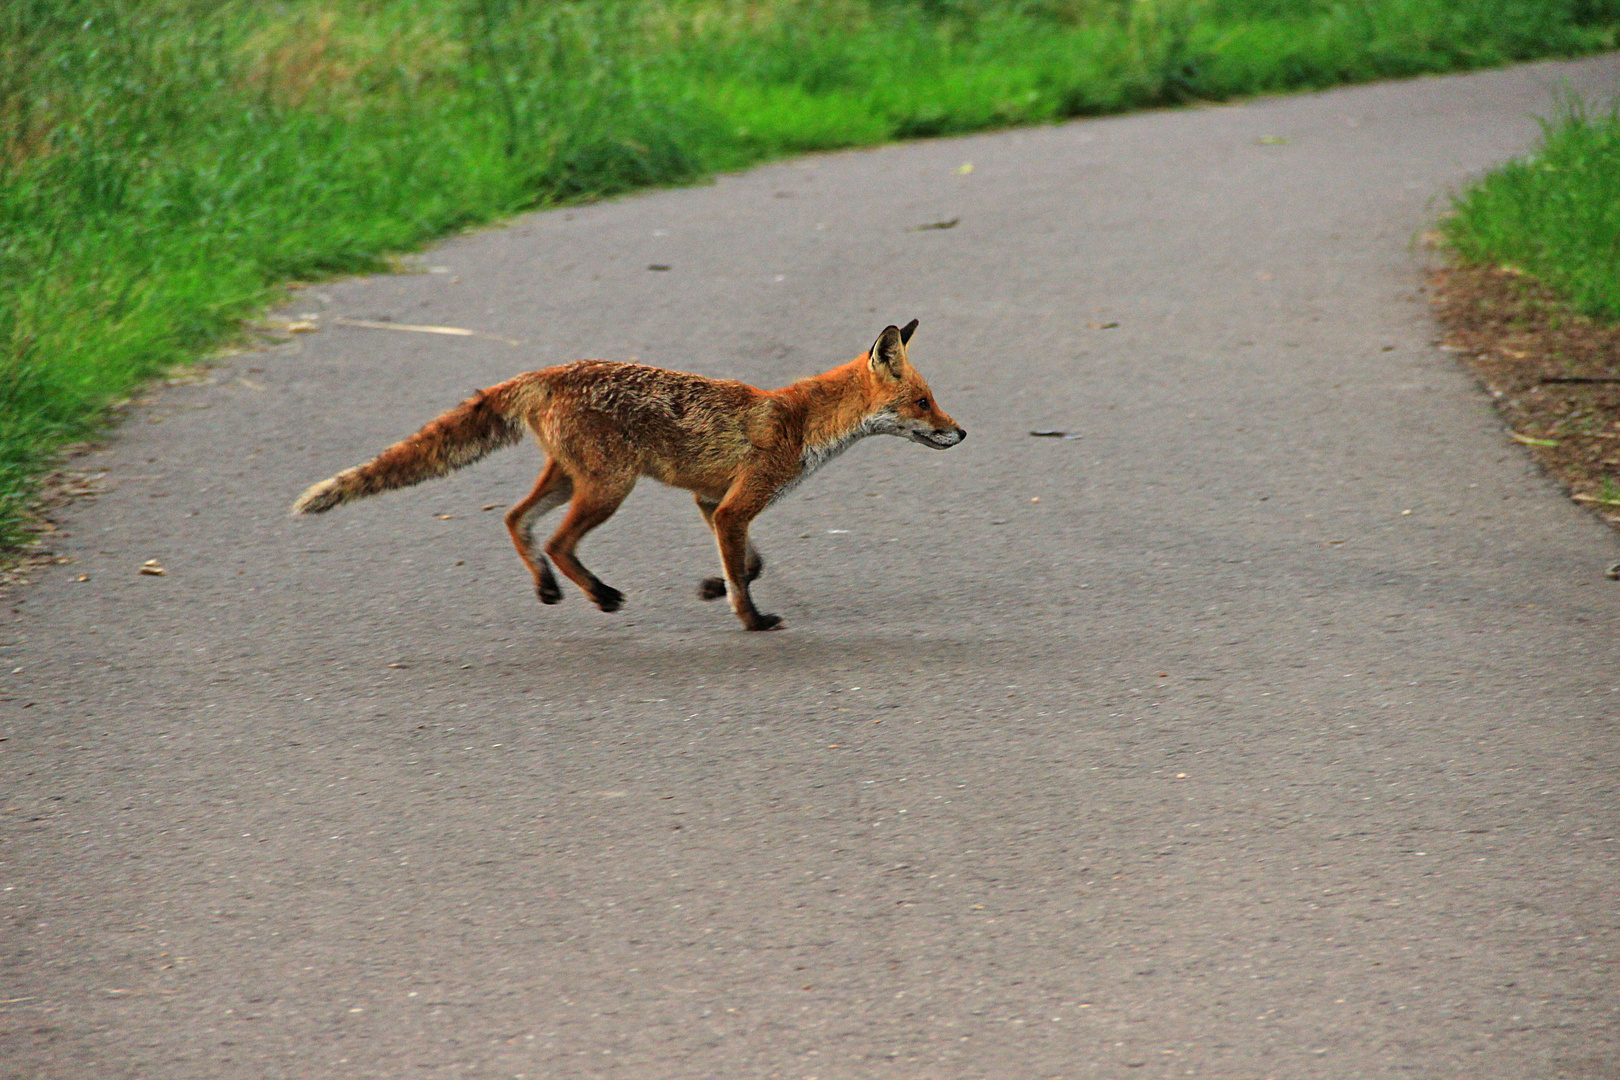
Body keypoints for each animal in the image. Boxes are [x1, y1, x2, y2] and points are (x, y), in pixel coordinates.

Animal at [291, 317, 959, 628]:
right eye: (924, 402)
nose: (962, 433)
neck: (800, 421)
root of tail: (547, 371)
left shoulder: (711, 502)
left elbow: (750, 563)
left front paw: (715, 587)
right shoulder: (735, 504)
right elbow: (746, 573)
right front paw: (750, 620)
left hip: (571, 478)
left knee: (514, 520)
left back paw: (548, 588)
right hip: (611, 487)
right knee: (558, 541)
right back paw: (600, 594)